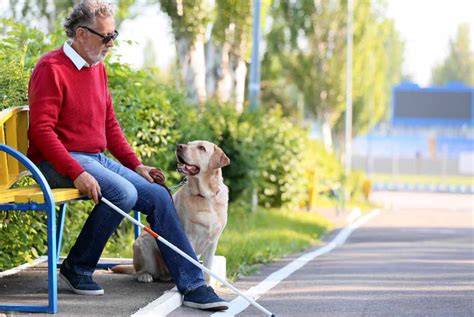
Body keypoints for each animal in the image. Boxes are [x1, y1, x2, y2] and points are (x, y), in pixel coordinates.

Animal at [111, 141, 230, 282]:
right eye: (189, 143)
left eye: (201, 148)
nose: (179, 146)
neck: (205, 197)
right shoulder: (188, 238)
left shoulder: (213, 242)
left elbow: (207, 269)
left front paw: (207, 282)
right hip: (143, 246)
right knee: (139, 271)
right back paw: (145, 276)